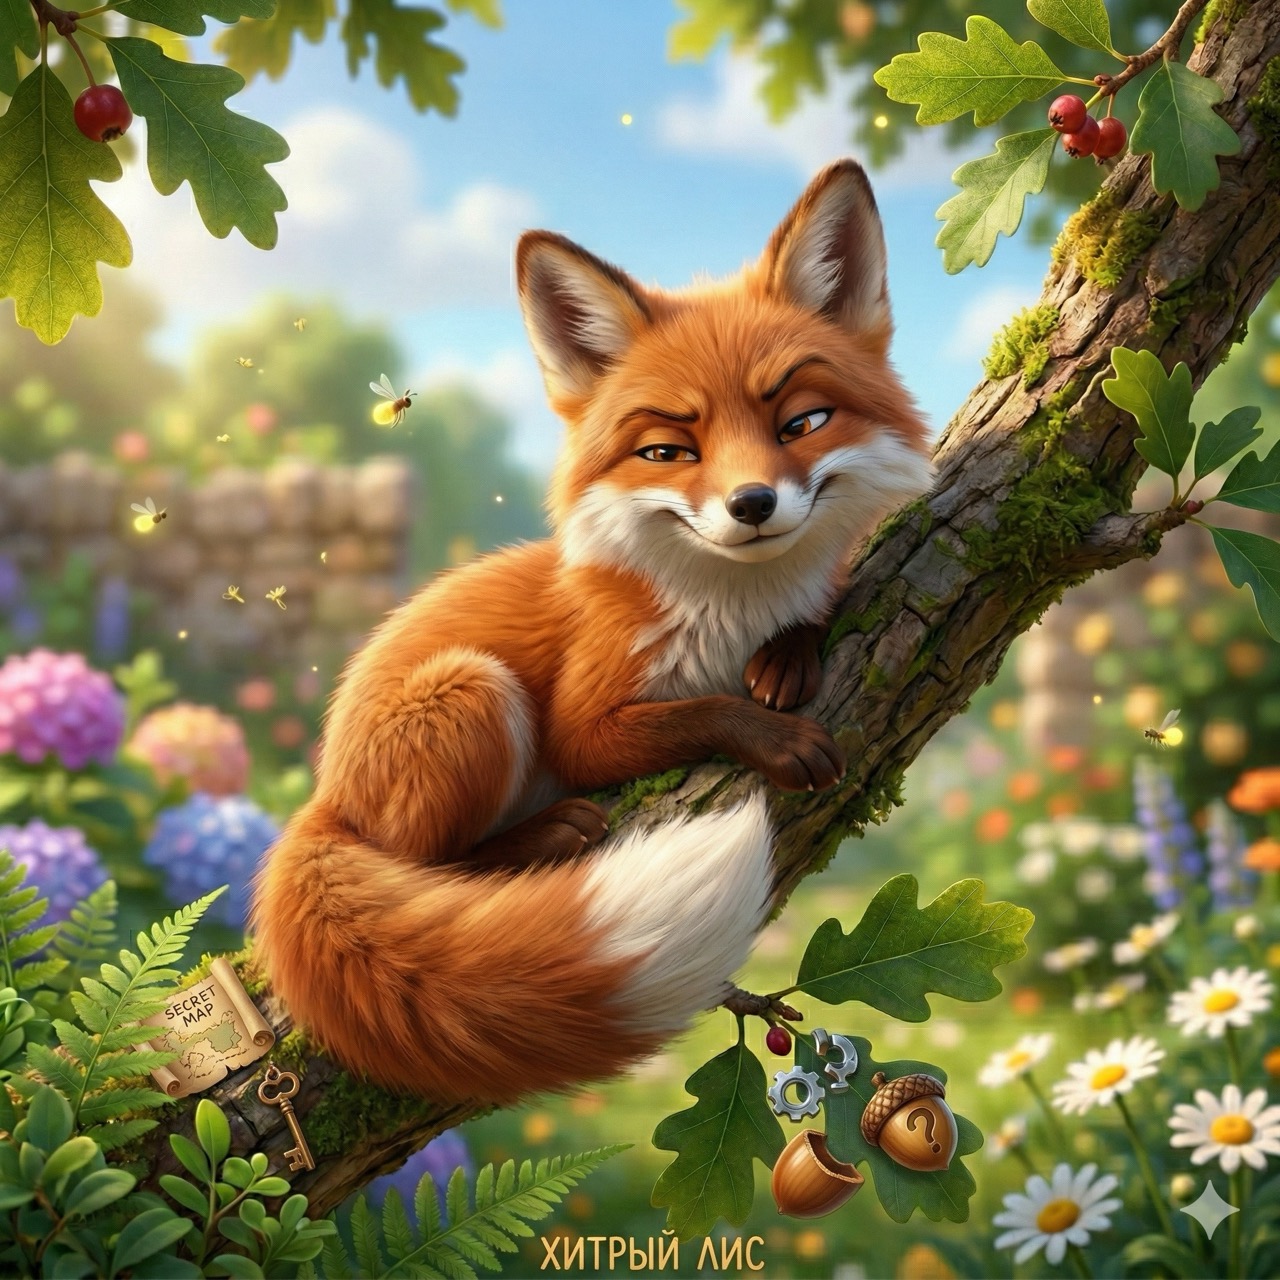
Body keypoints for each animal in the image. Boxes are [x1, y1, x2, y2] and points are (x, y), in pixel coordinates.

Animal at [251, 159, 934, 1106]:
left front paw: (789, 655)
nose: (752, 504)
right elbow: (699, 713)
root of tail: (322, 793)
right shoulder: (587, 721)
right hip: (472, 692)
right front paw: (776, 735)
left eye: (802, 424)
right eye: (667, 454)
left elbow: (802, 621)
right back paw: (539, 838)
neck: (729, 609)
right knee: (429, 861)